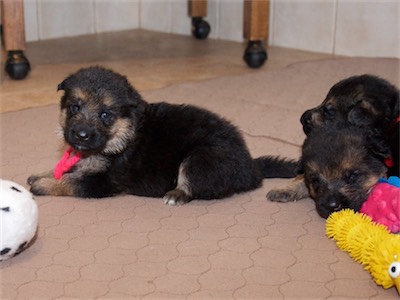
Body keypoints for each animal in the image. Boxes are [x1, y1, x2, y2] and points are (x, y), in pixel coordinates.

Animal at [28, 66, 296, 205]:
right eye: (74, 107)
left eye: (105, 114)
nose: (81, 135)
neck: (125, 134)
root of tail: (251, 167)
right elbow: (66, 170)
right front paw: (41, 174)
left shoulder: (105, 181)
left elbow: (70, 182)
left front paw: (42, 185)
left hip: (201, 156)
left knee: (197, 184)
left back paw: (177, 194)